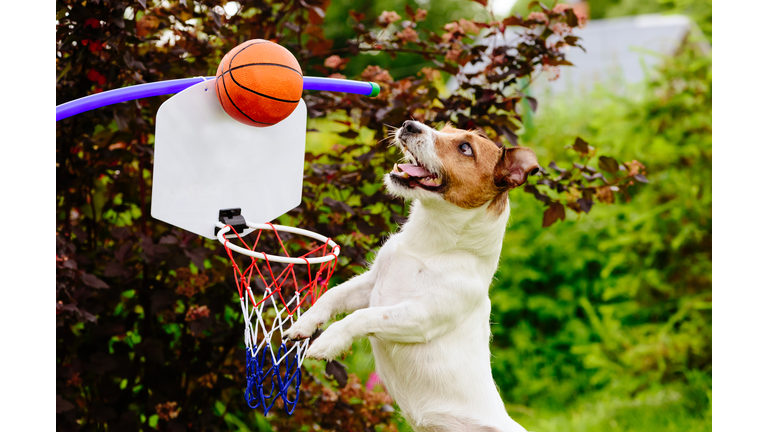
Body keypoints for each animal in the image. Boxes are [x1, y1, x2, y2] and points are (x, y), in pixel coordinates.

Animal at [284, 120, 540, 430]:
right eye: (445, 128)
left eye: (465, 148)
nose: (410, 124)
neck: (428, 246)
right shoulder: (370, 284)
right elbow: (332, 296)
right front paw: (304, 324)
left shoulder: (419, 317)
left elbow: (362, 317)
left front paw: (328, 342)